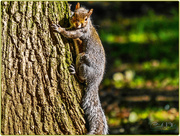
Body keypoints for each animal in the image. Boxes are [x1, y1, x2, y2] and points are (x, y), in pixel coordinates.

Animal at [51, 2, 109, 134]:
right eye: (75, 15)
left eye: (86, 18)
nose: (78, 24)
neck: (88, 25)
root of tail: (95, 81)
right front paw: (69, 7)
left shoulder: (81, 32)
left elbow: (69, 33)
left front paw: (59, 29)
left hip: (83, 59)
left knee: (83, 79)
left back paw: (75, 72)